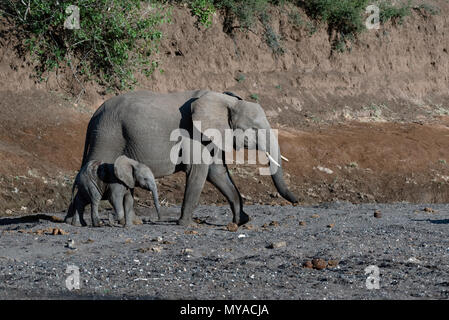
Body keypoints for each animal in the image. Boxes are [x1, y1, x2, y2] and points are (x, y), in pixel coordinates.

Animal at [65, 89, 298, 226]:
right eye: (255, 129)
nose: (297, 201)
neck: (227, 100)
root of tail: (93, 116)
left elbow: (217, 172)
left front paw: (242, 221)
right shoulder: (192, 133)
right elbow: (200, 171)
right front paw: (185, 224)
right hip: (108, 135)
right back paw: (78, 223)